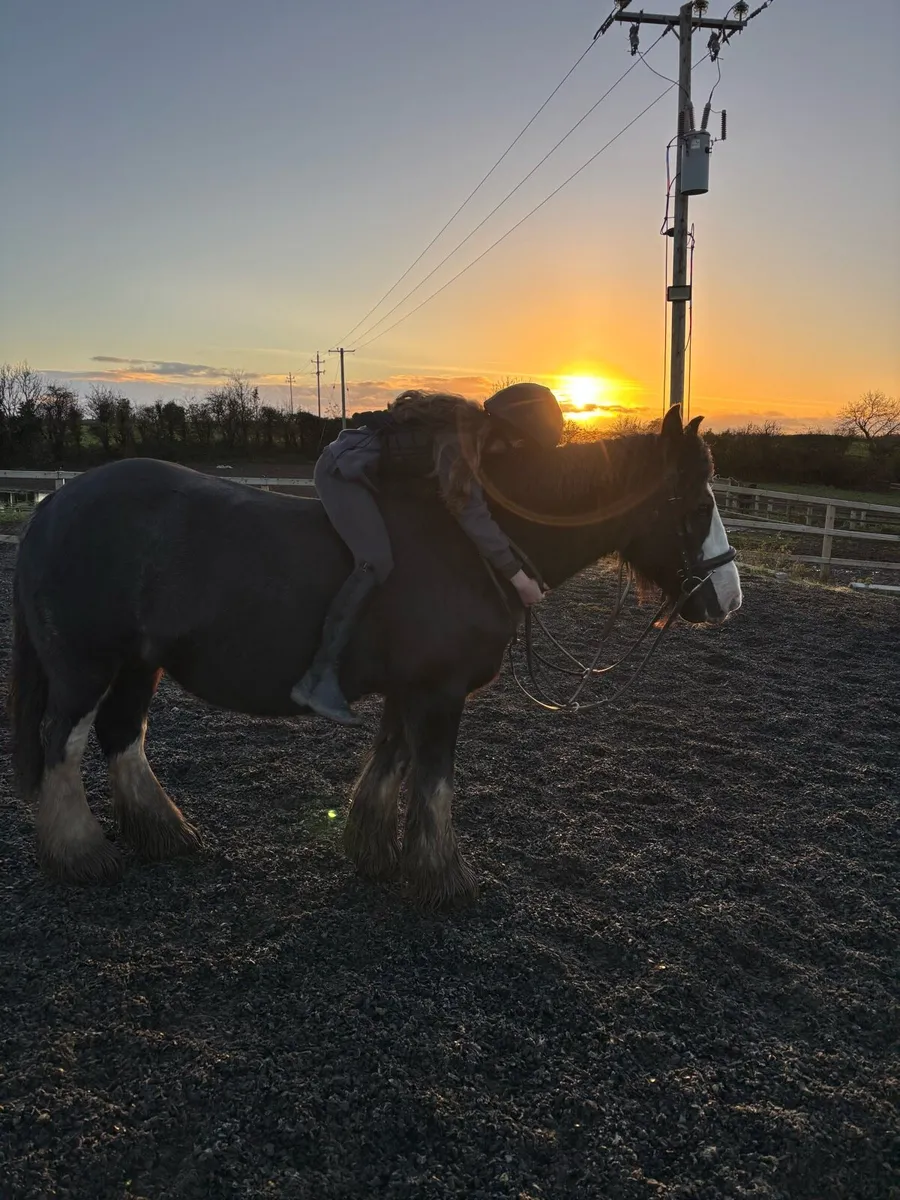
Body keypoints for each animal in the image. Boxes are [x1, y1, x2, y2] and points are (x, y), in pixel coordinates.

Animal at [7, 404, 741, 906]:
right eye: (693, 501)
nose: (729, 598)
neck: (470, 547)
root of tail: (55, 502)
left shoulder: (410, 688)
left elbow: (391, 762)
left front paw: (374, 853)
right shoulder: (440, 692)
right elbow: (436, 779)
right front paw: (444, 879)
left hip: (141, 663)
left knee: (121, 736)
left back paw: (162, 834)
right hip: (86, 667)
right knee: (62, 742)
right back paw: (80, 854)